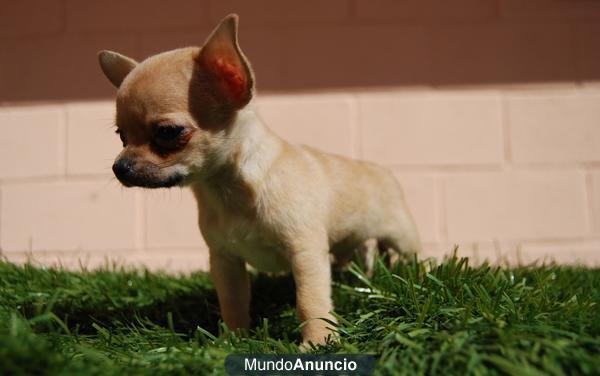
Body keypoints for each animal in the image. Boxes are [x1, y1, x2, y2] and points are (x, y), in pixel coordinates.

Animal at [97, 13, 418, 346]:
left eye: (168, 132)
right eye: (121, 136)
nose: (119, 167)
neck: (226, 190)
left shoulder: (305, 253)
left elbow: (310, 301)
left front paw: (317, 342)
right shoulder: (225, 261)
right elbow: (233, 303)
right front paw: (233, 339)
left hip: (402, 235)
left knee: (412, 256)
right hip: (350, 242)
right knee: (359, 254)